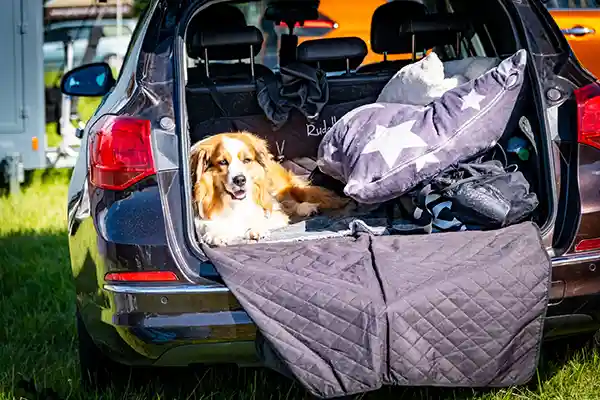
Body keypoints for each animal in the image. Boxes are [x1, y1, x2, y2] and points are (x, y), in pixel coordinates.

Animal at [188, 131, 346, 245]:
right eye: (223, 162)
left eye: (247, 160)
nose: (240, 180)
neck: (233, 203)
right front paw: (218, 233)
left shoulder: (271, 210)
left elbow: (266, 215)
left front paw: (256, 228)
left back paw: (307, 208)